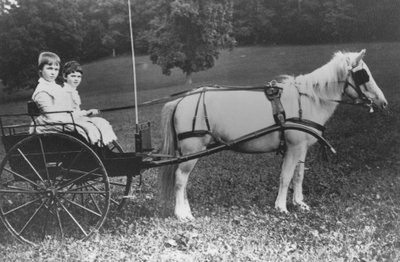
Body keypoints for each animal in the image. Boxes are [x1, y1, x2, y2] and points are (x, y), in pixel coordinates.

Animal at [159, 49, 388, 221]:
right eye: (364, 74)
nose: (383, 102)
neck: (308, 100)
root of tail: (180, 101)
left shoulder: (301, 149)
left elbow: (299, 175)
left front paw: (299, 202)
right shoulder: (294, 148)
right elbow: (285, 176)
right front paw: (281, 207)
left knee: (183, 180)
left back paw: (186, 210)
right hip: (193, 149)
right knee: (181, 179)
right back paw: (181, 214)